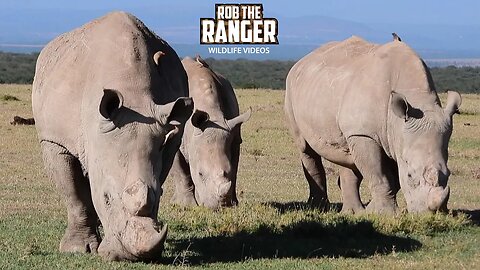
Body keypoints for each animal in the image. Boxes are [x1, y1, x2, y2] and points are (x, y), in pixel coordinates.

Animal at [31, 11, 194, 260]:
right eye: (106, 198)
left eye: (159, 197)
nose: (131, 257)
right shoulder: (55, 140)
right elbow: (74, 195)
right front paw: (77, 249)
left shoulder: (168, 134)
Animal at [170, 56, 251, 210]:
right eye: (200, 173)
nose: (218, 207)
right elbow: (181, 172)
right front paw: (187, 205)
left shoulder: (232, 133)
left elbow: (234, 169)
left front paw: (233, 204)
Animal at [284, 35, 462, 214]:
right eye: (410, 175)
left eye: (449, 173)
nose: (429, 215)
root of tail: (302, 60)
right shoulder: (365, 133)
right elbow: (379, 175)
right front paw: (386, 213)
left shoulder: (394, 136)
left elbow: (392, 178)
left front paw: (371, 210)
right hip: (291, 88)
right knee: (305, 148)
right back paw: (318, 207)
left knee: (348, 155)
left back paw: (352, 212)